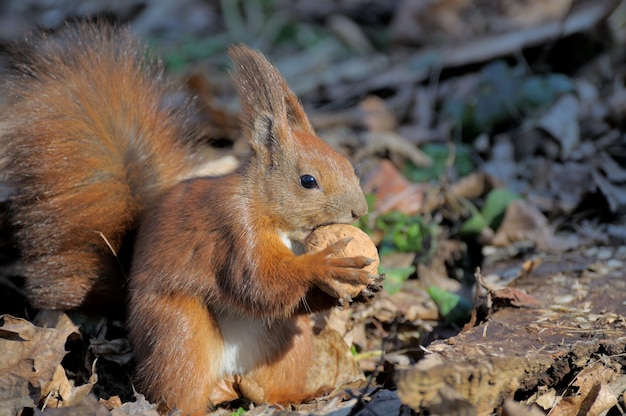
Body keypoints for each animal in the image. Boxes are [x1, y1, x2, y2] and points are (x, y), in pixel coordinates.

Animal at [2, 24, 378, 414]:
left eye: (347, 163)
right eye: (308, 181)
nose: (360, 211)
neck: (272, 213)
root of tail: (229, 377)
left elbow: (287, 299)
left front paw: (365, 288)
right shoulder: (235, 231)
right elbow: (259, 284)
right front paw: (326, 264)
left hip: (285, 343)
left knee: (263, 385)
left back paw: (296, 396)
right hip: (178, 331)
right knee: (183, 384)